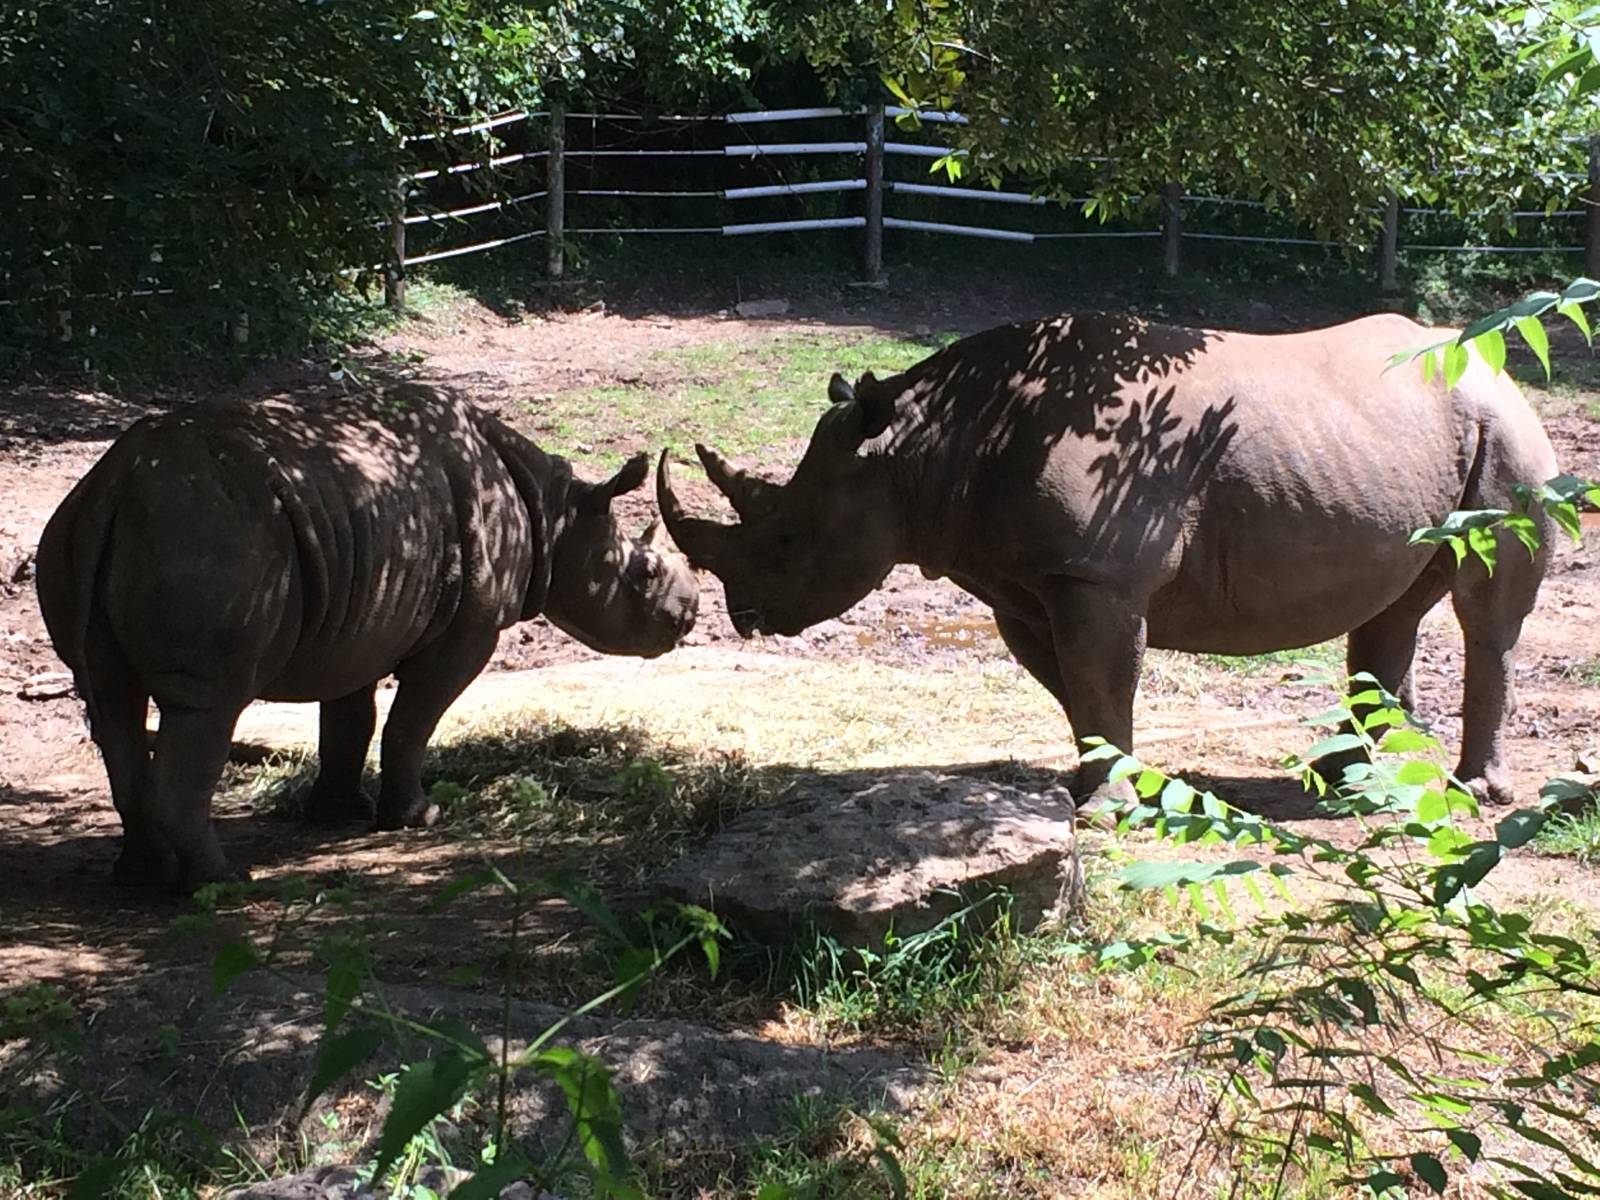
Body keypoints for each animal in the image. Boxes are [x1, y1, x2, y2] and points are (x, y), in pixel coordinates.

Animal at [36, 383, 699, 891]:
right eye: (643, 573)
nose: (689, 615)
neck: (555, 512)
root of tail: (116, 483)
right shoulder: (470, 628)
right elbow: (413, 720)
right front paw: (419, 817)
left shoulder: (360, 612)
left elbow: (350, 716)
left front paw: (337, 814)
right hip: (210, 540)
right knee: (208, 705)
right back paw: (220, 885)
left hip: (87, 531)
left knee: (111, 702)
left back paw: (142, 877)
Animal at [658, 313, 1559, 806]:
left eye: (787, 538)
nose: (741, 616)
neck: (923, 446)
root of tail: (1497, 367)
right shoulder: (1028, 580)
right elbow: (1075, 689)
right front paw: (1105, 784)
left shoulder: (1094, 573)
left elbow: (1098, 680)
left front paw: (1108, 804)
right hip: (1412, 440)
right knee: (1392, 603)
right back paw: (1351, 784)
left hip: (1506, 432)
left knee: (1486, 611)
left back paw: (1470, 792)